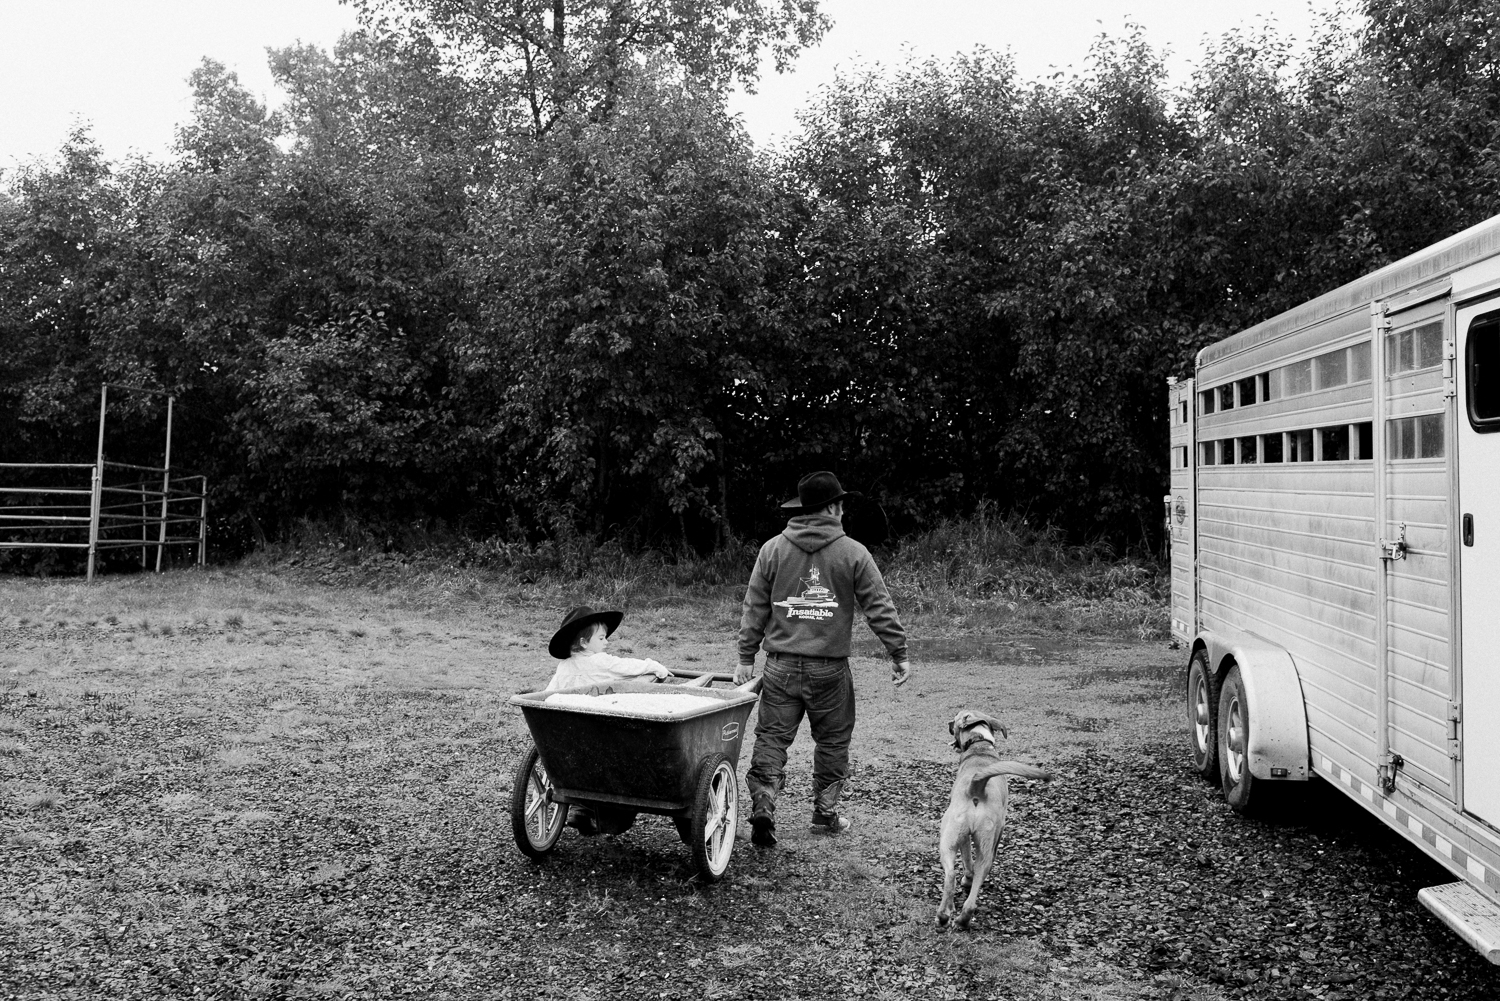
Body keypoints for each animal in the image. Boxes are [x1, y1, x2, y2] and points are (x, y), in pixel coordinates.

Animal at [936, 708, 1056, 930]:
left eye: (954, 720)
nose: (948, 723)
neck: (979, 744)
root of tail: (977, 787)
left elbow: (967, 863)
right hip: (979, 846)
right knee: (967, 882)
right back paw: (953, 916)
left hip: (953, 840)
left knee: (953, 877)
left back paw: (949, 916)